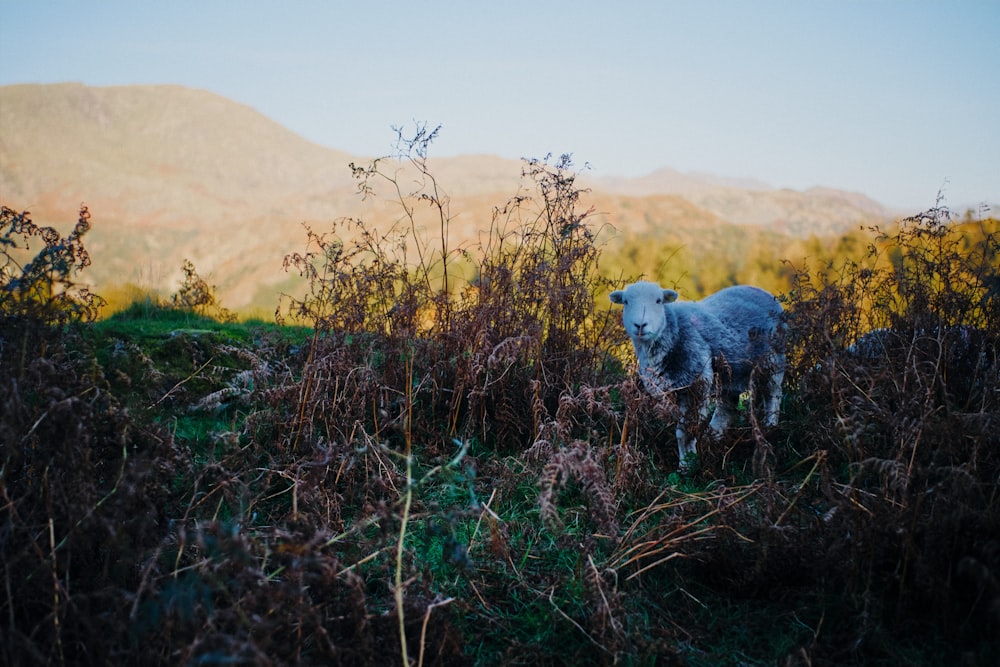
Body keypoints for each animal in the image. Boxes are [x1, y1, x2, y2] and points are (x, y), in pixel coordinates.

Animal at [604, 284, 784, 470]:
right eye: (625, 301)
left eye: (659, 300)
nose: (640, 325)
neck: (674, 330)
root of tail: (762, 291)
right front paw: (688, 460)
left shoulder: (696, 384)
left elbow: (685, 432)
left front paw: (688, 465)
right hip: (730, 373)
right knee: (728, 407)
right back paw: (713, 437)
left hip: (772, 360)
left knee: (773, 394)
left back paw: (770, 426)